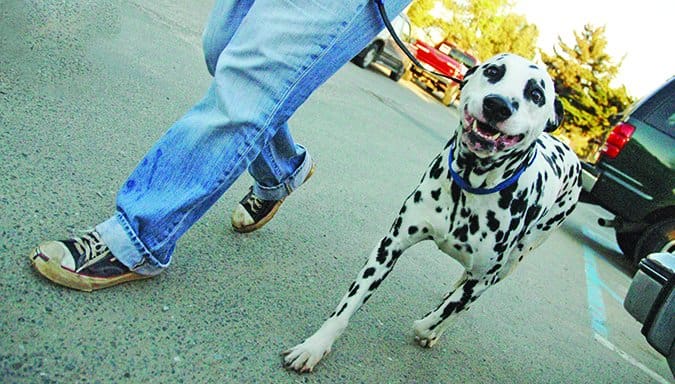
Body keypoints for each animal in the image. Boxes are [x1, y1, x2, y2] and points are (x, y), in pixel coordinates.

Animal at [282, 54, 584, 372]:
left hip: (516, 259)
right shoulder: (389, 247)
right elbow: (347, 305)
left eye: (536, 94)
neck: (471, 185)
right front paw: (315, 346)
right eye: (493, 71)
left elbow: (445, 312)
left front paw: (429, 329)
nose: (497, 104)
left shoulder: (484, 277)